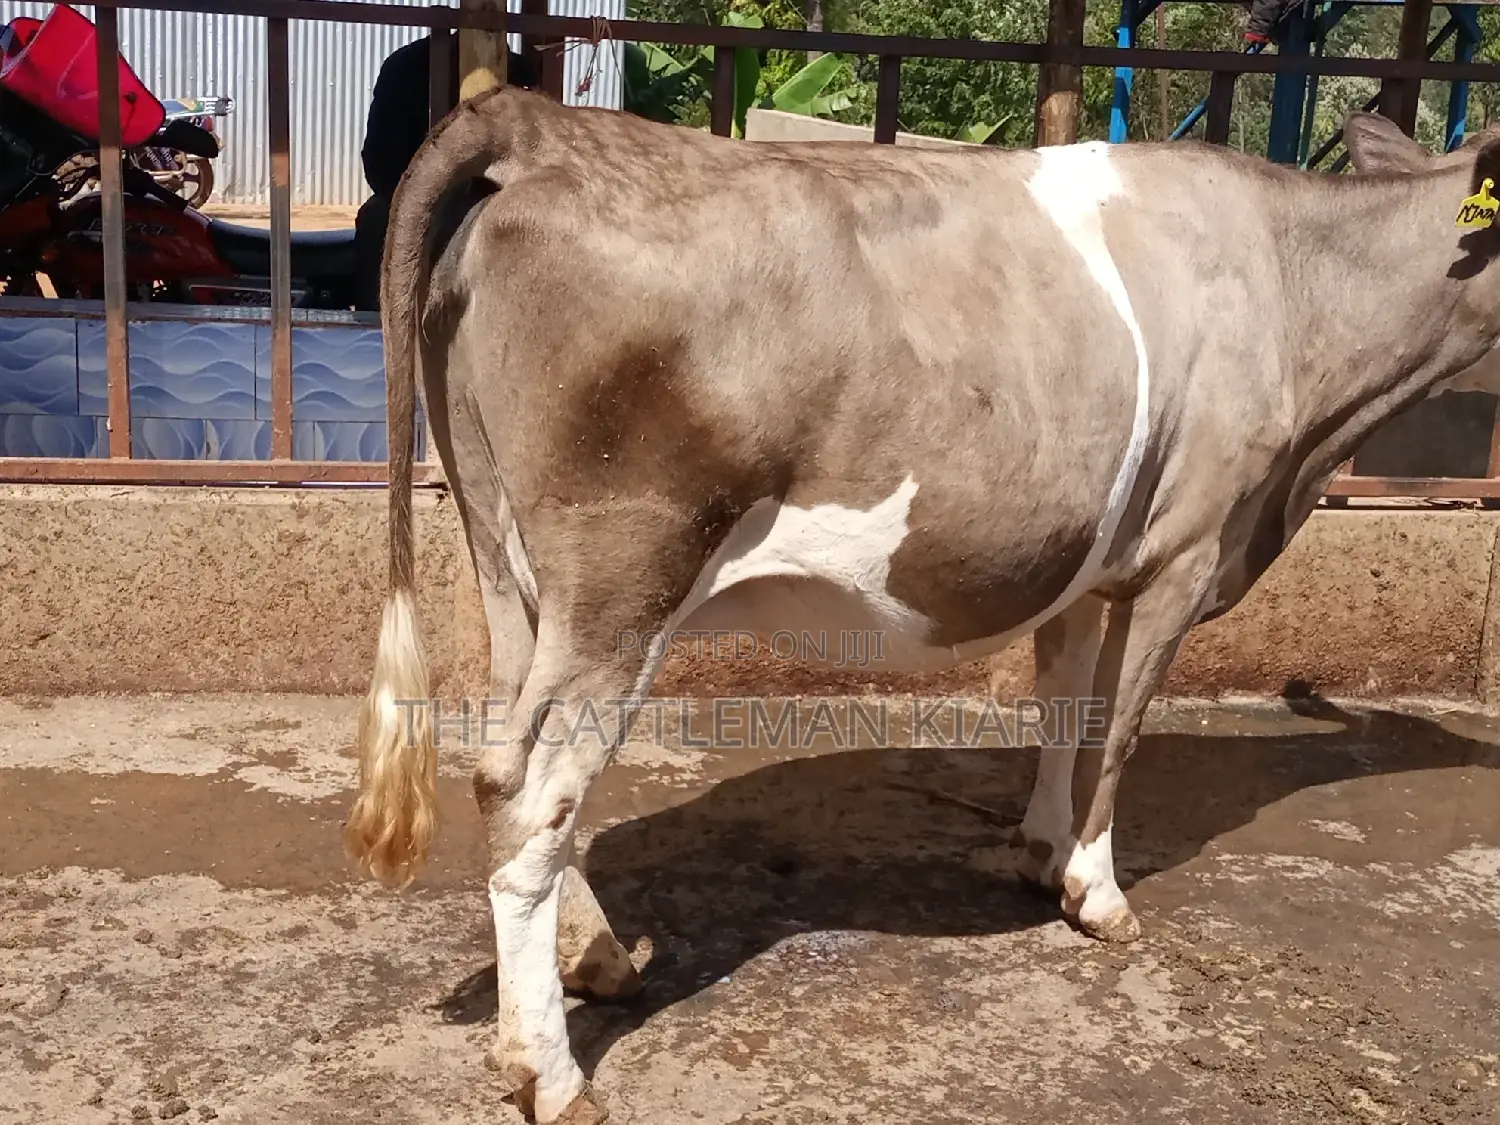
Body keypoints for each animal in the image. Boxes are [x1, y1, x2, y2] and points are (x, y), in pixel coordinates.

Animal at [341, 88, 1500, 1123]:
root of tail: (542, 124)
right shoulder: (1186, 547)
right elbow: (1119, 731)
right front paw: (1098, 894)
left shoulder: (1086, 555)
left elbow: (1065, 709)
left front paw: (1041, 853)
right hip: (626, 577)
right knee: (531, 794)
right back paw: (551, 1074)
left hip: (507, 559)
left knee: (507, 759)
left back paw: (597, 958)